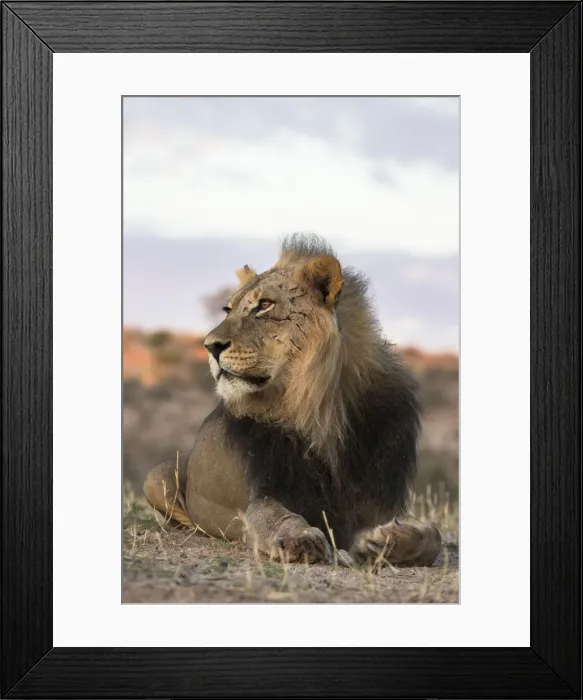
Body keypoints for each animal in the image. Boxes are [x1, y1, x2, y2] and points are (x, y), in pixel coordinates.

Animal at [143, 234, 441, 567]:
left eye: (264, 305)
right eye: (227, 309)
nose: (209, 346)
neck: (322, 410)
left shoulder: (379, 500)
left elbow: (433, 536)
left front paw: (383, 541)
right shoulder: (264, 494)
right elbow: (275, 517)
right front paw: (298, 539)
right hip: (156, 476)